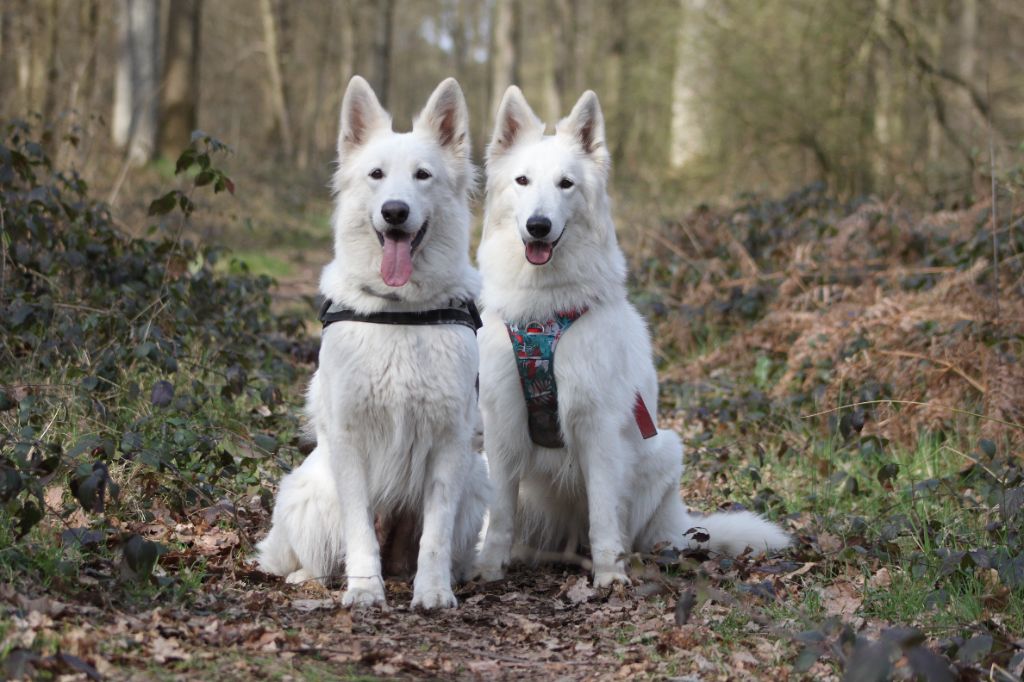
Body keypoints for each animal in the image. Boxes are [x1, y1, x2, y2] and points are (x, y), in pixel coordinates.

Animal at [260, 76, 491, 606]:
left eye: (423, 175)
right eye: (376, 175)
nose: (395, 211)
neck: (401, 311)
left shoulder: (451, 441)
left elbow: (435, 535)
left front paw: (432, 592)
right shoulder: (349, 439)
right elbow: (360, 530)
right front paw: (365, 589)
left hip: (476, 481)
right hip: (310, 493)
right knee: (308, 558)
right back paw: (310, 578)